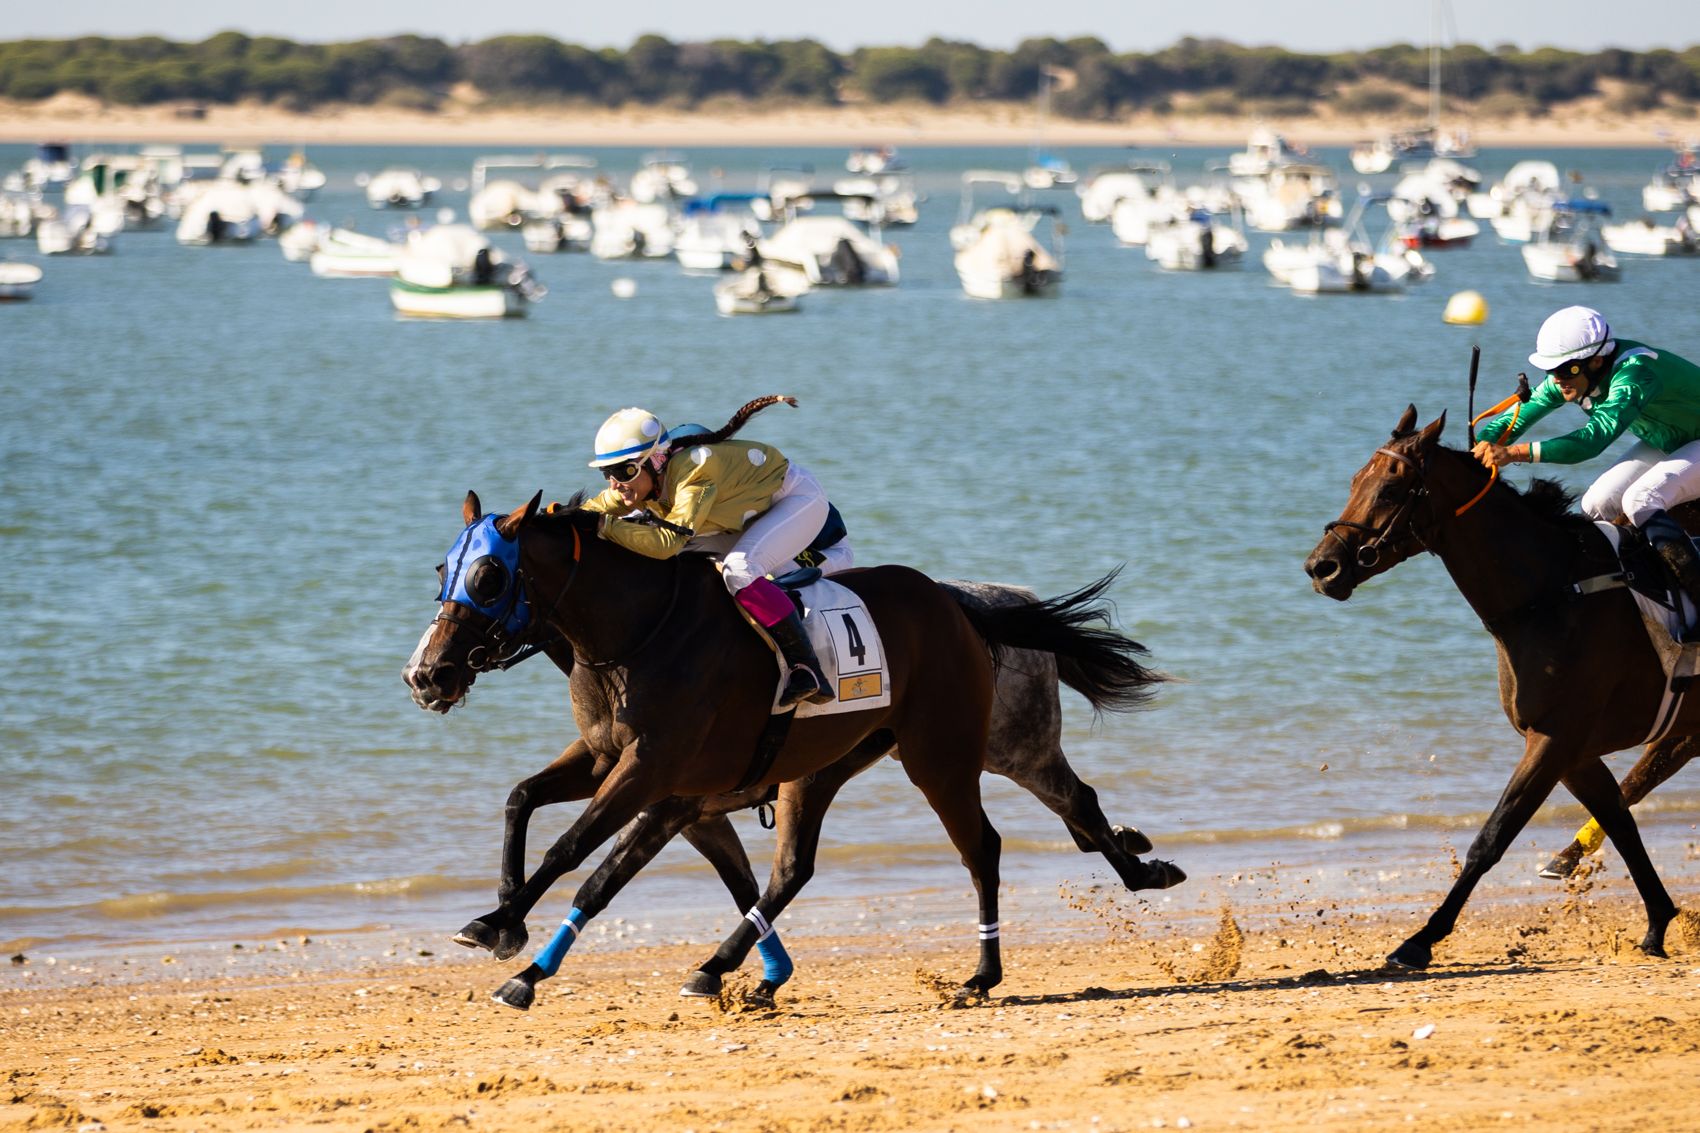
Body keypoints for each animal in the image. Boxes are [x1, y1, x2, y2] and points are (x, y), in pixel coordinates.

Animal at [1305, 409, 1679, 966]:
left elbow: (1492, 837)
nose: (1321, 566)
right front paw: (1657, 922)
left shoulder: (1554, 739)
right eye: (1355, 480)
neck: (1554, 592)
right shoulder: (1574, 750)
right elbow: (1620, 822)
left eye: (1391, 489)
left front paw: (1419, 940)